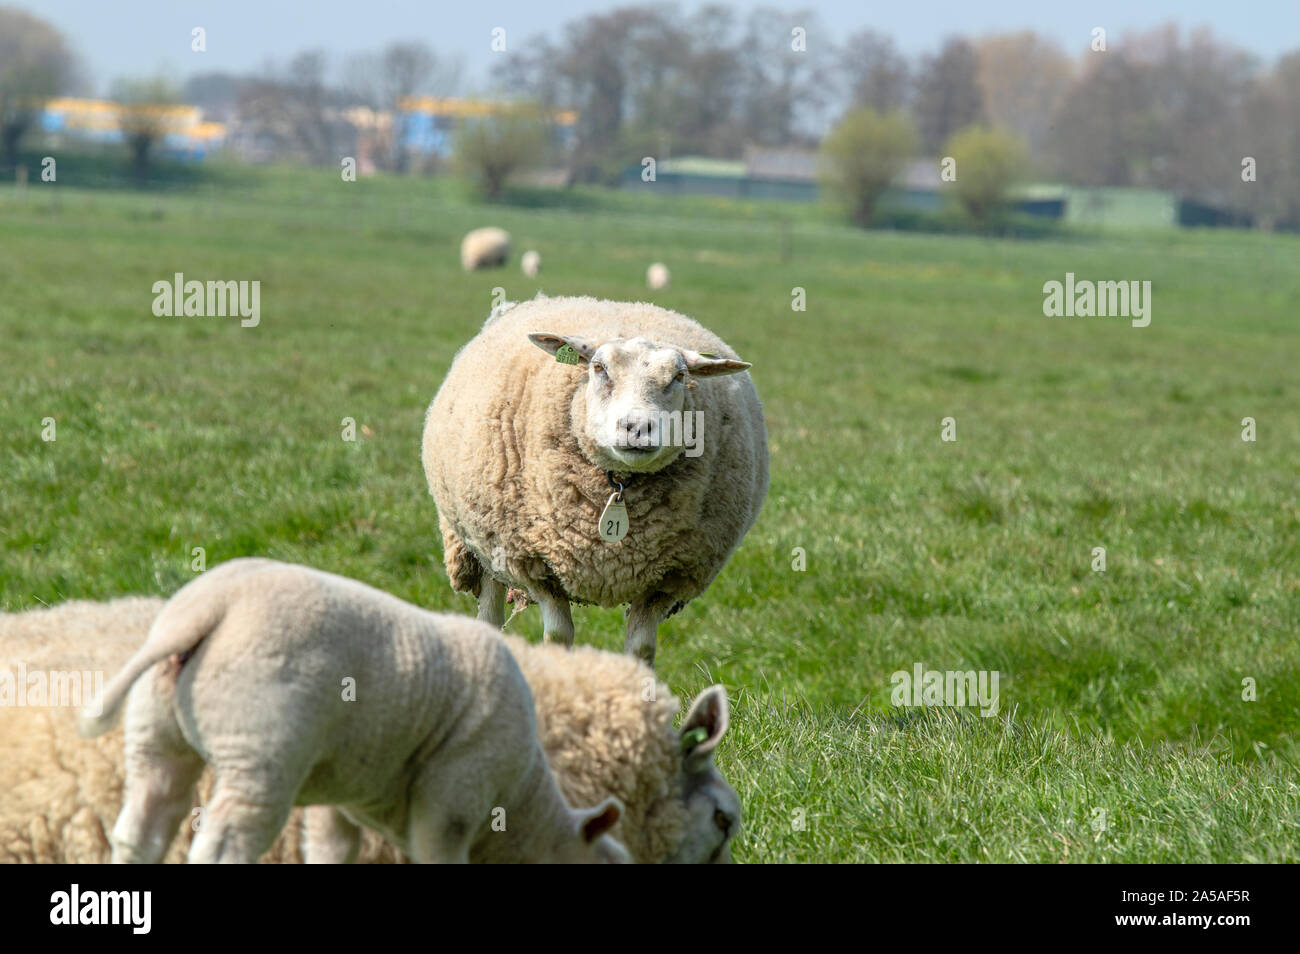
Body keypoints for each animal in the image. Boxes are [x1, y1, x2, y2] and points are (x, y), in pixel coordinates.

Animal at [78, 558, 629, 864]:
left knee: (141, 828)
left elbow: (332, 850)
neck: (521, 802)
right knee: (220, 848)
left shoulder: (339, 796)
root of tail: (208, 609)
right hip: (260, 749)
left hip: (156, 733)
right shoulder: (454, 795)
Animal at [422, 294, 768, 665]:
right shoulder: (538, 565)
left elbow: (641, 649)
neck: (619, 484)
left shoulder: (666, 579)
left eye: (678, 376)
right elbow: (558, 638)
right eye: (599, 368)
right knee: (489, 611)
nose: (637, 428)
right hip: (482, 547)